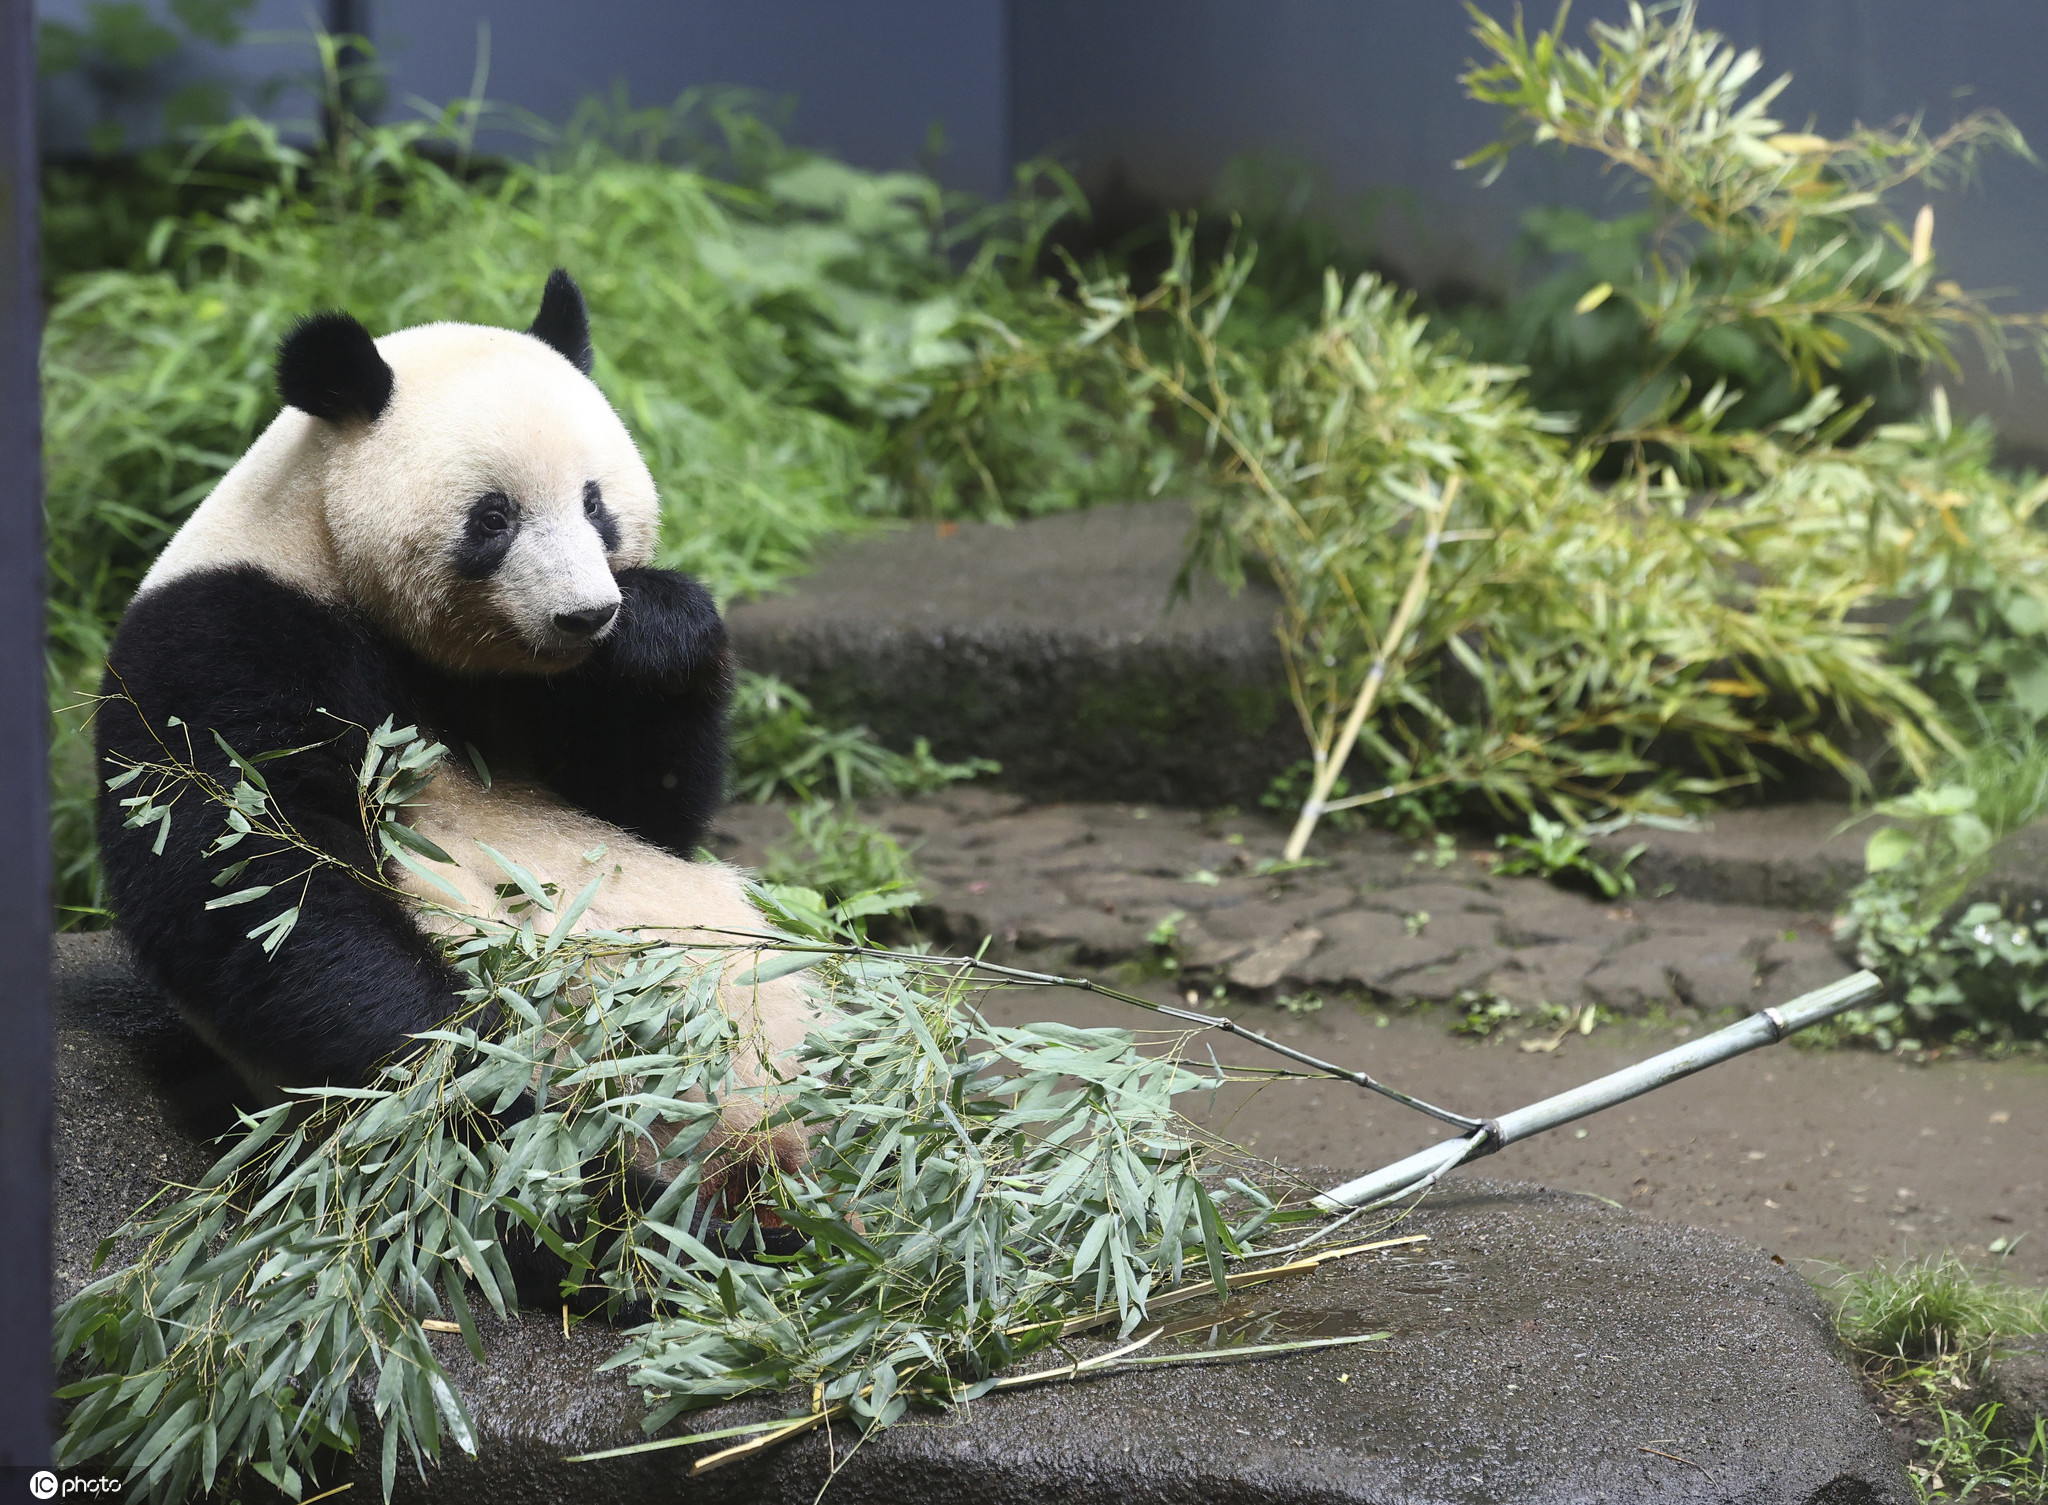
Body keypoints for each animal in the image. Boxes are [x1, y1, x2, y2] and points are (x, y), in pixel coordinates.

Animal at [96, 268, 811, 1212]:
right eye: (494, 516)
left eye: (596, 504)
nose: (586, 614)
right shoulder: (226, 637)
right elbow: (257, 879)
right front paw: (475, 1068)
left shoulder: (547, 696)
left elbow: (648, 808)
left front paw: (656, 630)